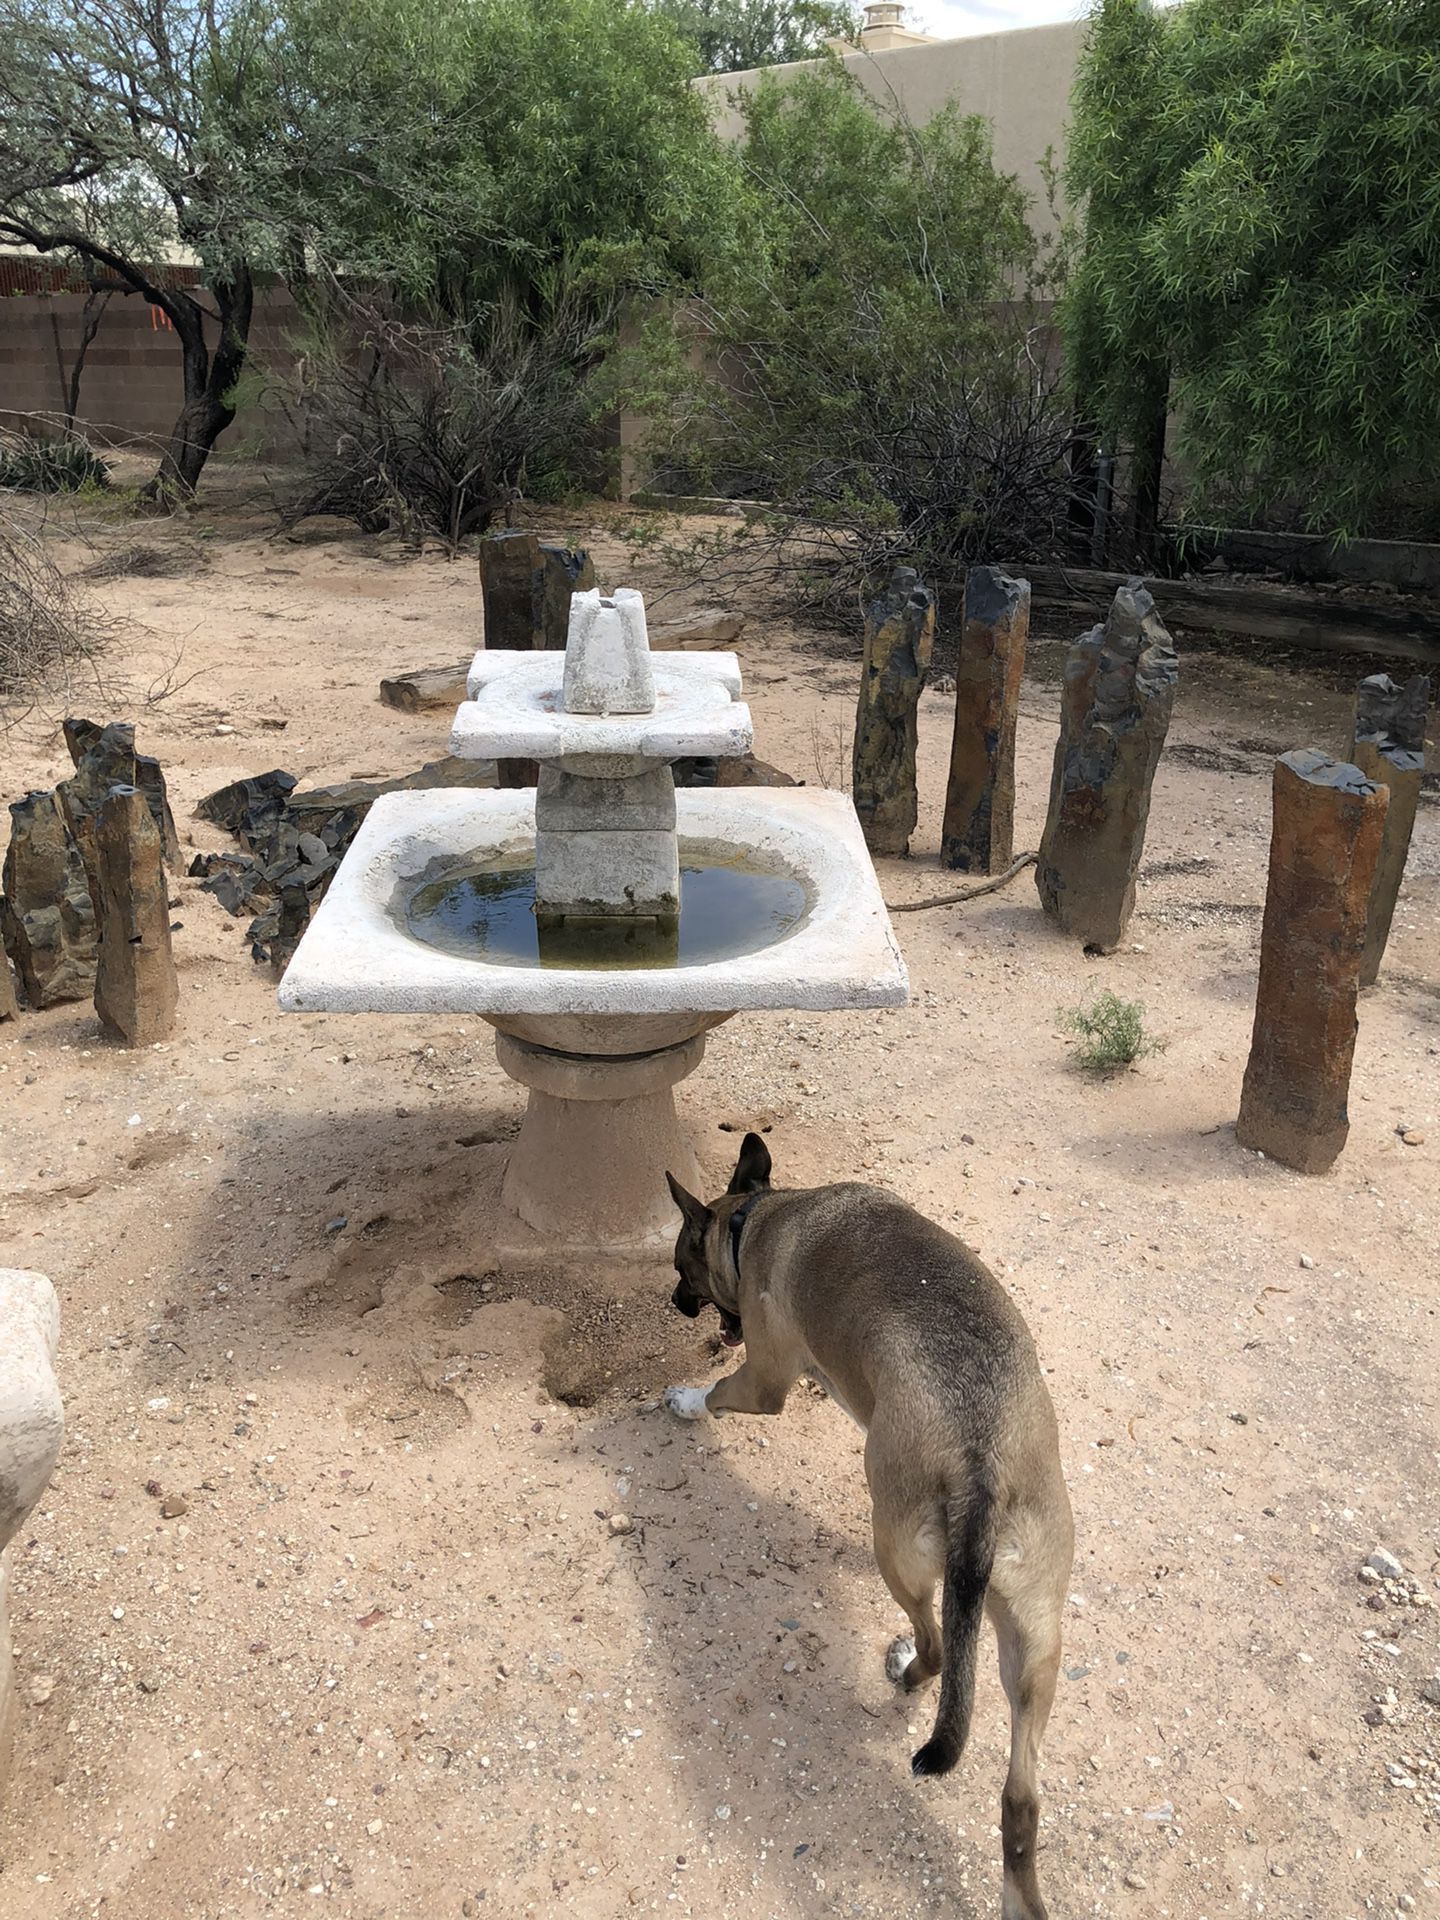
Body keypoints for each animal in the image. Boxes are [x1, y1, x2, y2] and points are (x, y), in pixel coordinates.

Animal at [664, 1136, 1075, 1920]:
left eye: (680, 1267)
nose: (672, 1303)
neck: (756, 1217)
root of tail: (983, 1461)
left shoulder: (763, 1380)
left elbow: (722, 1393)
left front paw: (683, 1400)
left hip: (904, 1563)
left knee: (938, 1649)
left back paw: (906, 1667)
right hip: (1033, 1646)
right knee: (1020, 1801)